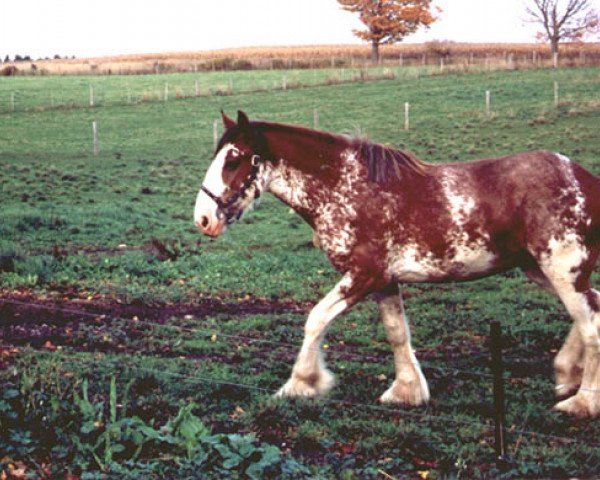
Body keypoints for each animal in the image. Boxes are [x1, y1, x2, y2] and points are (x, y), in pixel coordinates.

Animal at [193, 109, 600, 416]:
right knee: (593, 306)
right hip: (540, 269)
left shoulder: (363, 275)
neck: (345, 189)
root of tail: (584, 179)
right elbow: (397, 332)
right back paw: (567, 374)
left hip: (562, 270)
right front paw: (407, 391)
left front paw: (302, 384)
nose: (203, 219)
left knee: (591, 323)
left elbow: (315, 319)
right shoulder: (384, 281)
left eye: (233, 158)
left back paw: (582, 402)